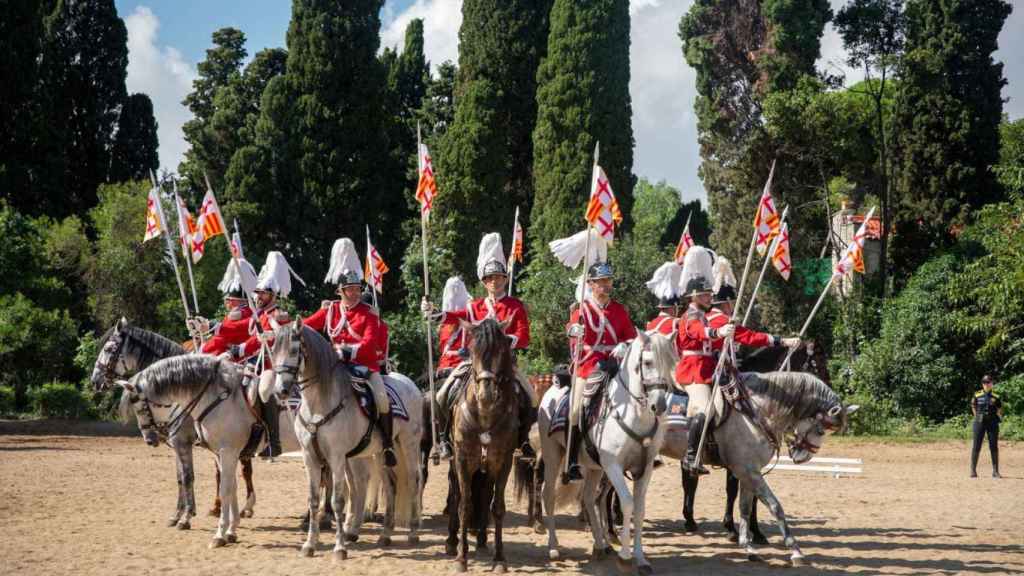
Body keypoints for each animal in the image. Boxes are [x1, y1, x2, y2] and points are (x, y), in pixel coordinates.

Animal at [118, 354, 260, 545]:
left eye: (139, 408)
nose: (149, 439)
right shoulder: (182, 446)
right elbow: (181, 478)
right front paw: (178, 515)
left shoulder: (183, 444)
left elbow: (188, 478)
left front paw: (186, 517)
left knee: (244, 473)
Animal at [270, 317, 421, 557]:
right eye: (273, 350)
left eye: (294, 350)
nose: (281, 390)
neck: (318, 404)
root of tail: (409, 383)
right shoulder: (310, 457)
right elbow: (314, 499)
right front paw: (310, 544)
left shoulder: (337, 457)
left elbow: (338, 500)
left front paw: (340, 547)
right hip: (381, 452)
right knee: (390, 486)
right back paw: (385, 534)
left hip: (409, 445)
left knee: (413, 480)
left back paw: (413, 532)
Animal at [450, 315, 524, 569]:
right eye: (473, 350)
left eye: (502, 349)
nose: (486, 395)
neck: (485, 415)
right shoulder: (462, 460)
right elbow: (464, 506)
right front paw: (461, 558)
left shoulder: (503, 463)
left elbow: (497, 507)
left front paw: (499, 557)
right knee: (457, 495)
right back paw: (452, 542)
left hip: (487, 469)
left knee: (484, 496)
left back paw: (481, 540)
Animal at [540, 330, 675, 569]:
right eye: (648, 362)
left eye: (670, 363)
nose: (658, 405)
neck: (634, 415)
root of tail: (552, 389)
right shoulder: (613, 466)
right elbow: (628, 504)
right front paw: (625, 557)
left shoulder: (644, 468)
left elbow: (639, 509)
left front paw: (640, 558)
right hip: (553, 457)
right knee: (548, 495)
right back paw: (553, 547)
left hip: (594, 468)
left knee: (588, 497)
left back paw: (600, 545)